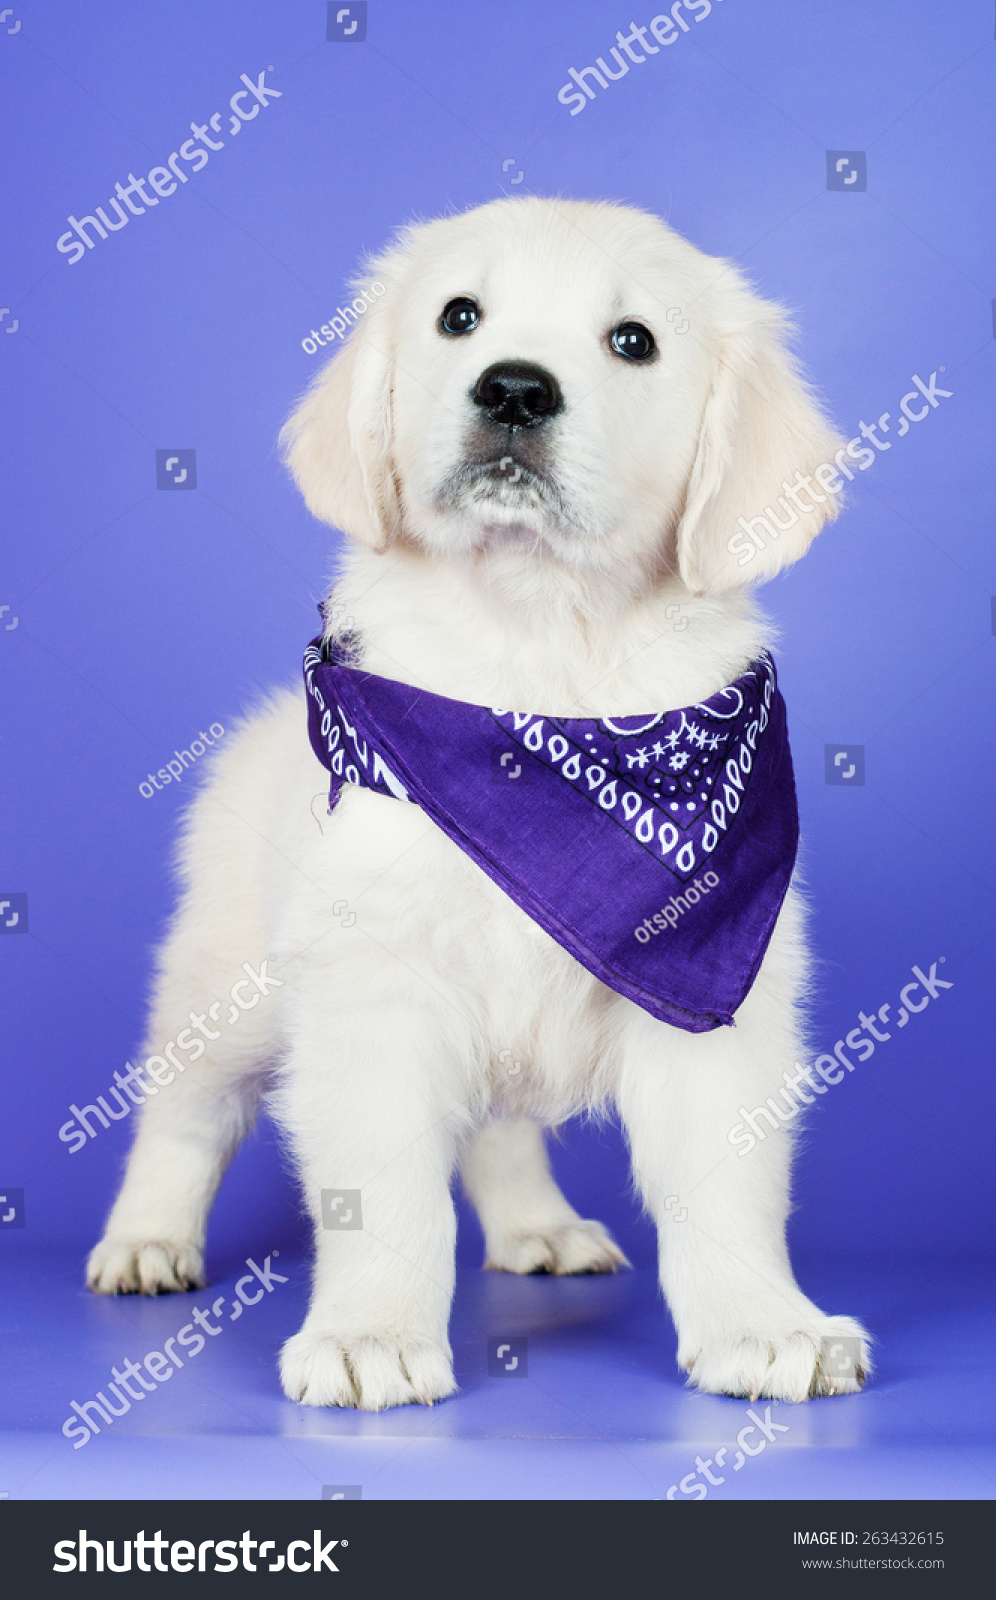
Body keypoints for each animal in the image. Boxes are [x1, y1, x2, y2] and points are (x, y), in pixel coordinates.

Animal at [91, 200, 871, 1414]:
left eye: (634, 341)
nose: (512, 389)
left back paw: (538, 1226)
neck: (538, 653)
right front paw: (369, 1333)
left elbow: (725, 1178)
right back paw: (144, 1240)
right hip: (225, 983)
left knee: (494, 1132)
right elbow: (383, 1184)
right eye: (460, 317)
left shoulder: (716, 998)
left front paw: (762, 1323)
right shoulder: (369, 982)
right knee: (182, 1109)